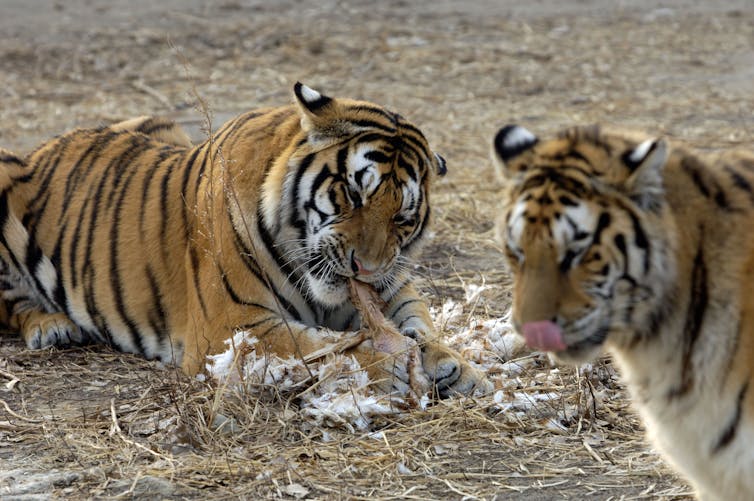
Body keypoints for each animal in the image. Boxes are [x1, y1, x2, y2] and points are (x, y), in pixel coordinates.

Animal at [0, 82, 490, 398]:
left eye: (402, 218)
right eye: (353, 194)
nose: (364, 269)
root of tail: (43, 147)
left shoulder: (390, 285)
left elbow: (417, 322)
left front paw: (456, 367)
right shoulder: (230, 325)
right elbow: (314, 346)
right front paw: (386, 365)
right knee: (11, 303)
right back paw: (51, 326)